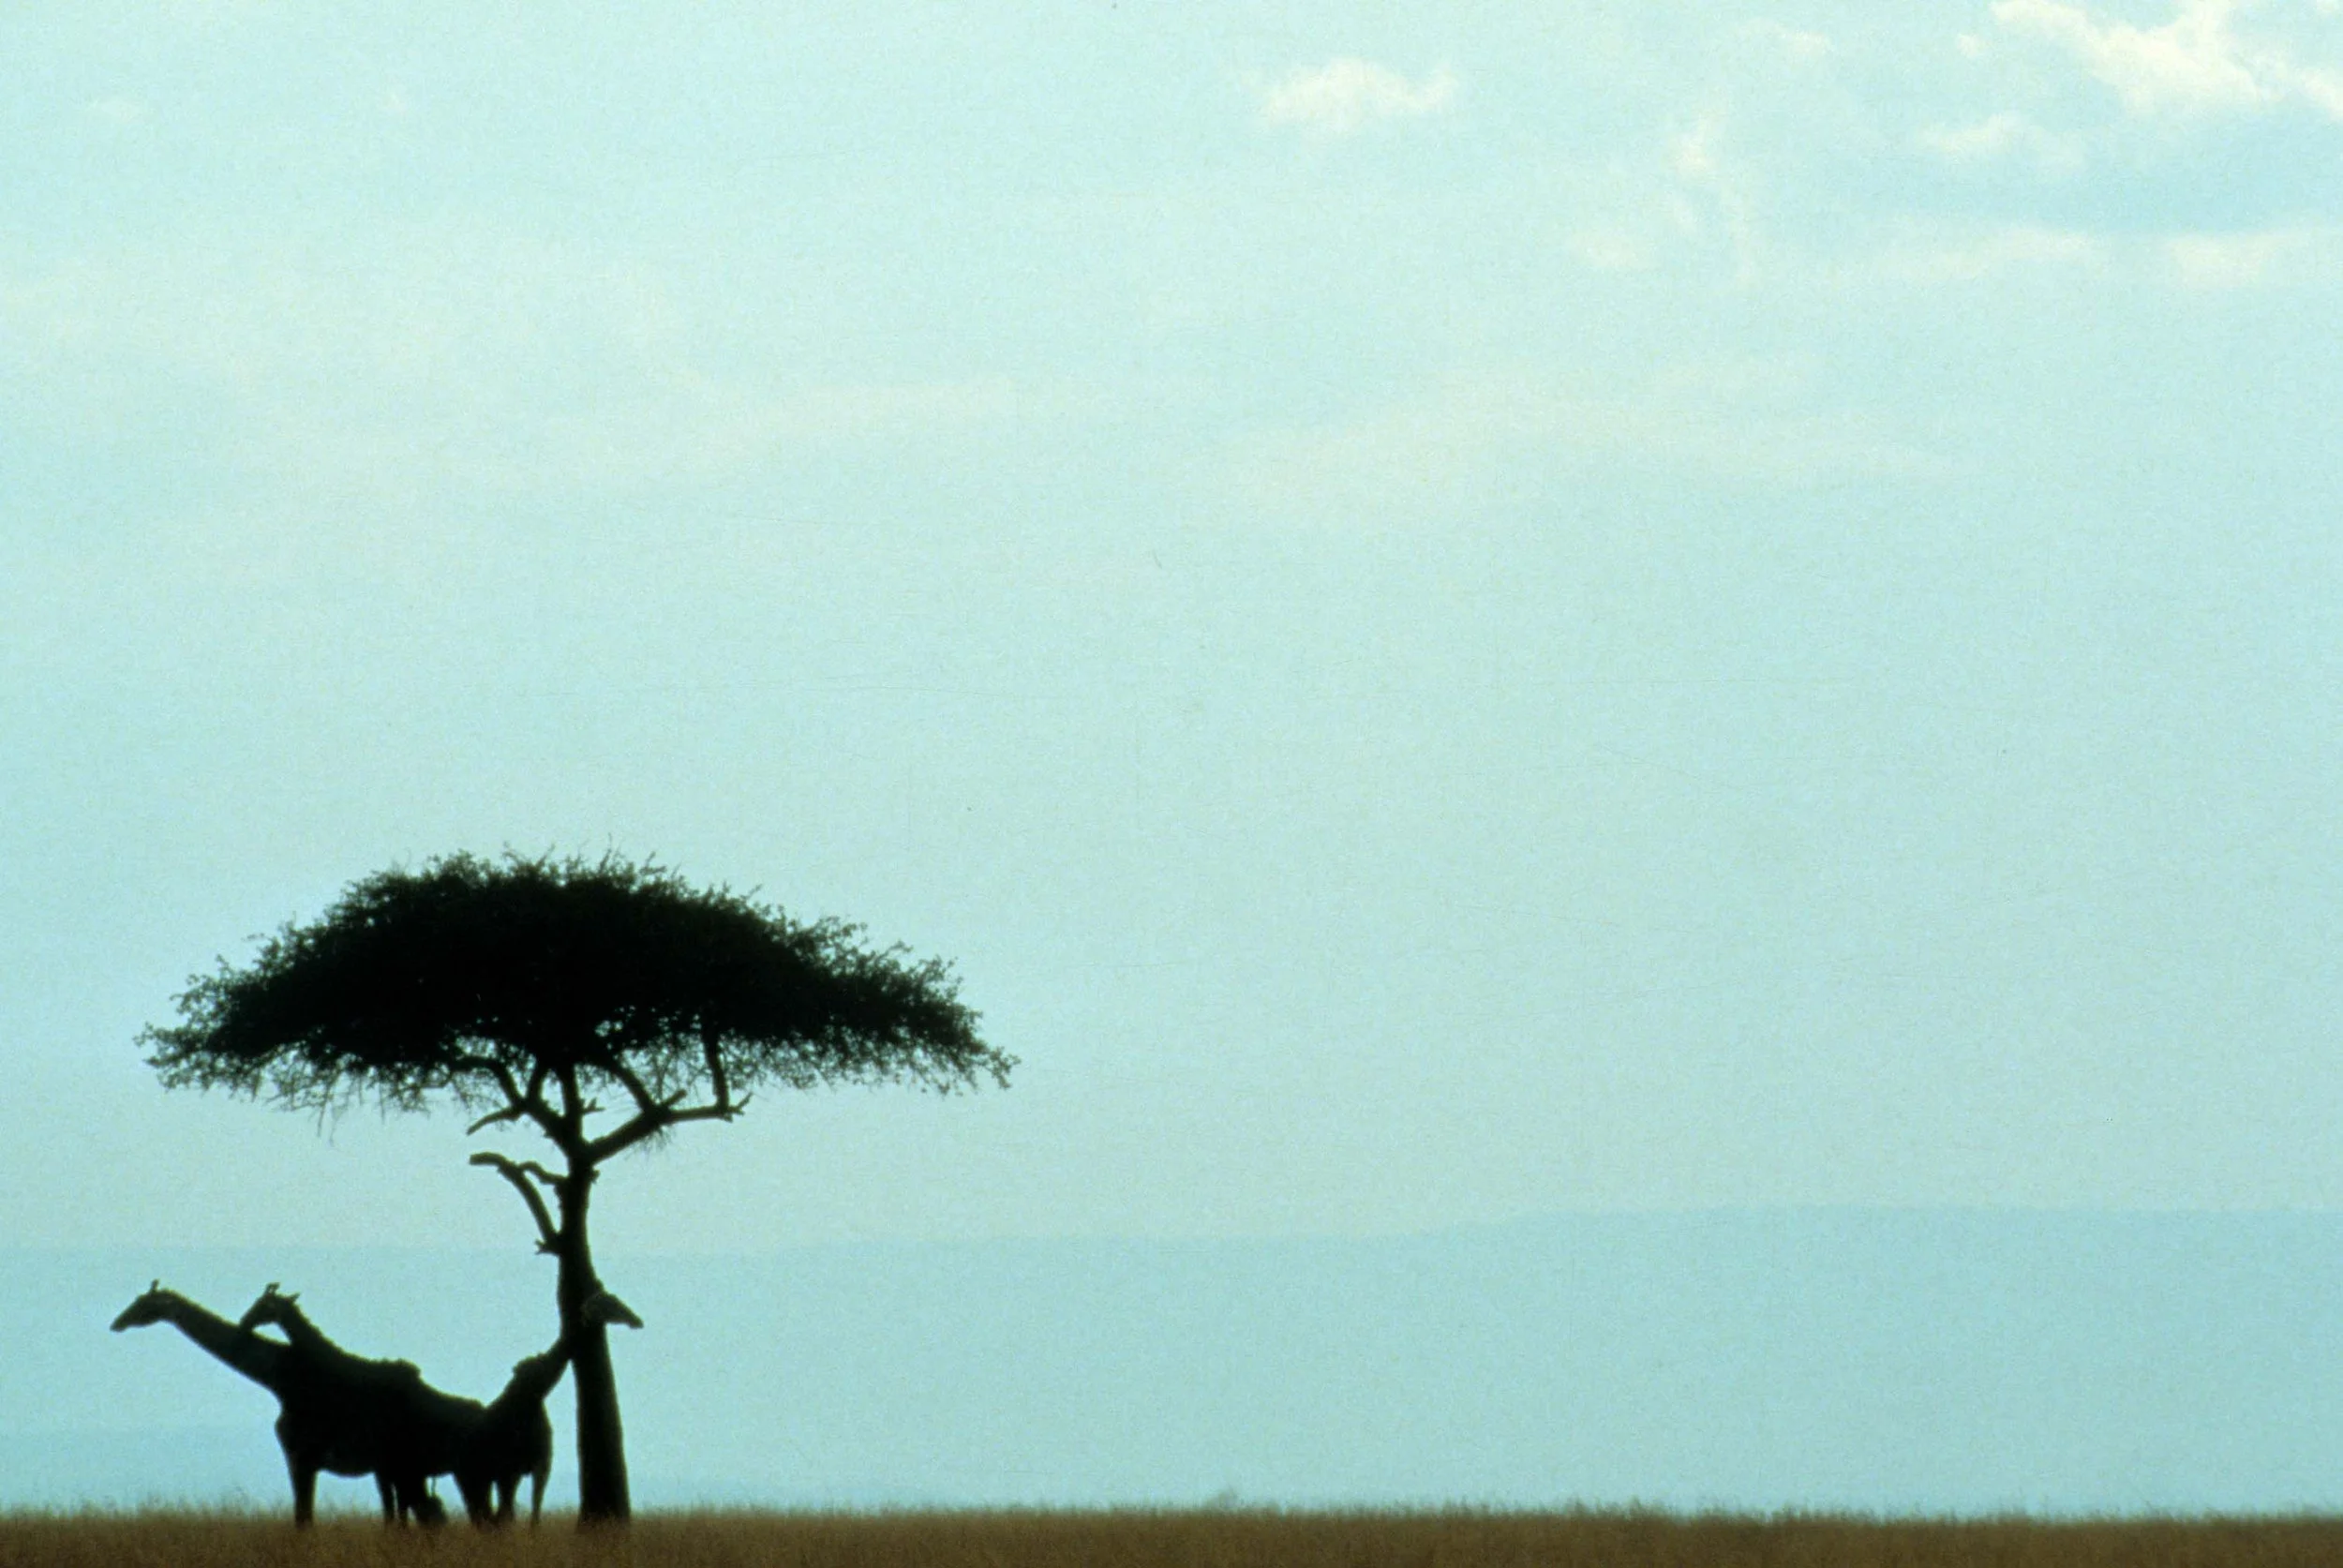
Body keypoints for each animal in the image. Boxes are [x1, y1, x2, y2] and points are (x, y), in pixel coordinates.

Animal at [109, 1281, 419, 1524]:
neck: (279, 1381)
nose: (116, 1323)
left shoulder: (301, 1457)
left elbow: (303, 1518)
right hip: (388, 1467)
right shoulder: (300, 1460)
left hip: (392, 1464)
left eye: (143, 1303)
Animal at [237, 1283, 490, 1525]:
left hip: (463, 1471)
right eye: (258, 1301)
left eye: (266, 1305)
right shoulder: (386, 1466)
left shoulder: (384, 1464)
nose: (243, 1323)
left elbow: (394, 1510)